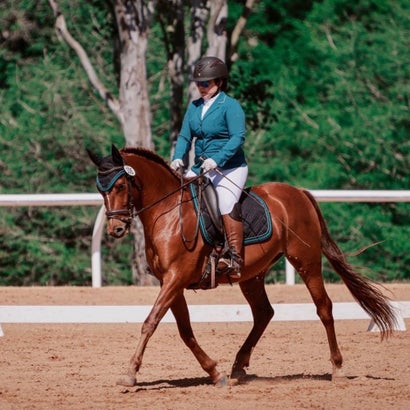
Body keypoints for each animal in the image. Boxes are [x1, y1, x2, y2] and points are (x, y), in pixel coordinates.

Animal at [87, 144, 398, 388]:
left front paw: (130, 373)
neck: (169, 214)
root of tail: (298, 192)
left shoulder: (176, 278)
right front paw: (215, 372)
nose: (116, 229)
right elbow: (185, 331)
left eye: (120, 186)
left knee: (324, 307)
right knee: (264, 313)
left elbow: (150, 322)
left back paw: (337, 367)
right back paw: (238, 366)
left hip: (306, 261)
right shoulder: (171, 282)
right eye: (100, 190)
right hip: (252, 275)